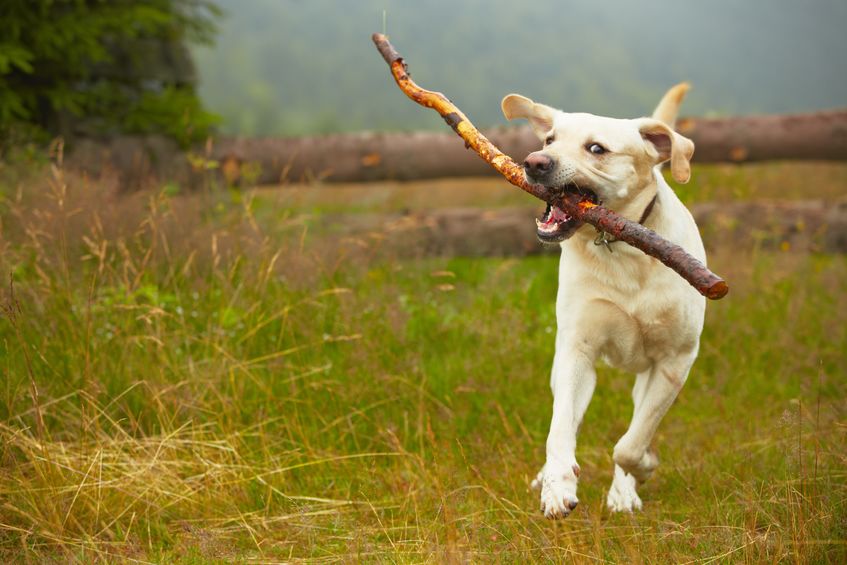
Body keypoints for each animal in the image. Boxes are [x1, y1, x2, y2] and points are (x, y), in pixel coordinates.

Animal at [500, 83, 704, 516]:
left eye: (596, 148)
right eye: (549, 139)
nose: (534, 162)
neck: (621, 247)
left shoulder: (675, 362)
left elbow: (630, 444)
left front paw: (640, 471)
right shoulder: (577, 350)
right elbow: (560, 427)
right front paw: (557, 485)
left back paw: (624, 492)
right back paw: (547, 476)